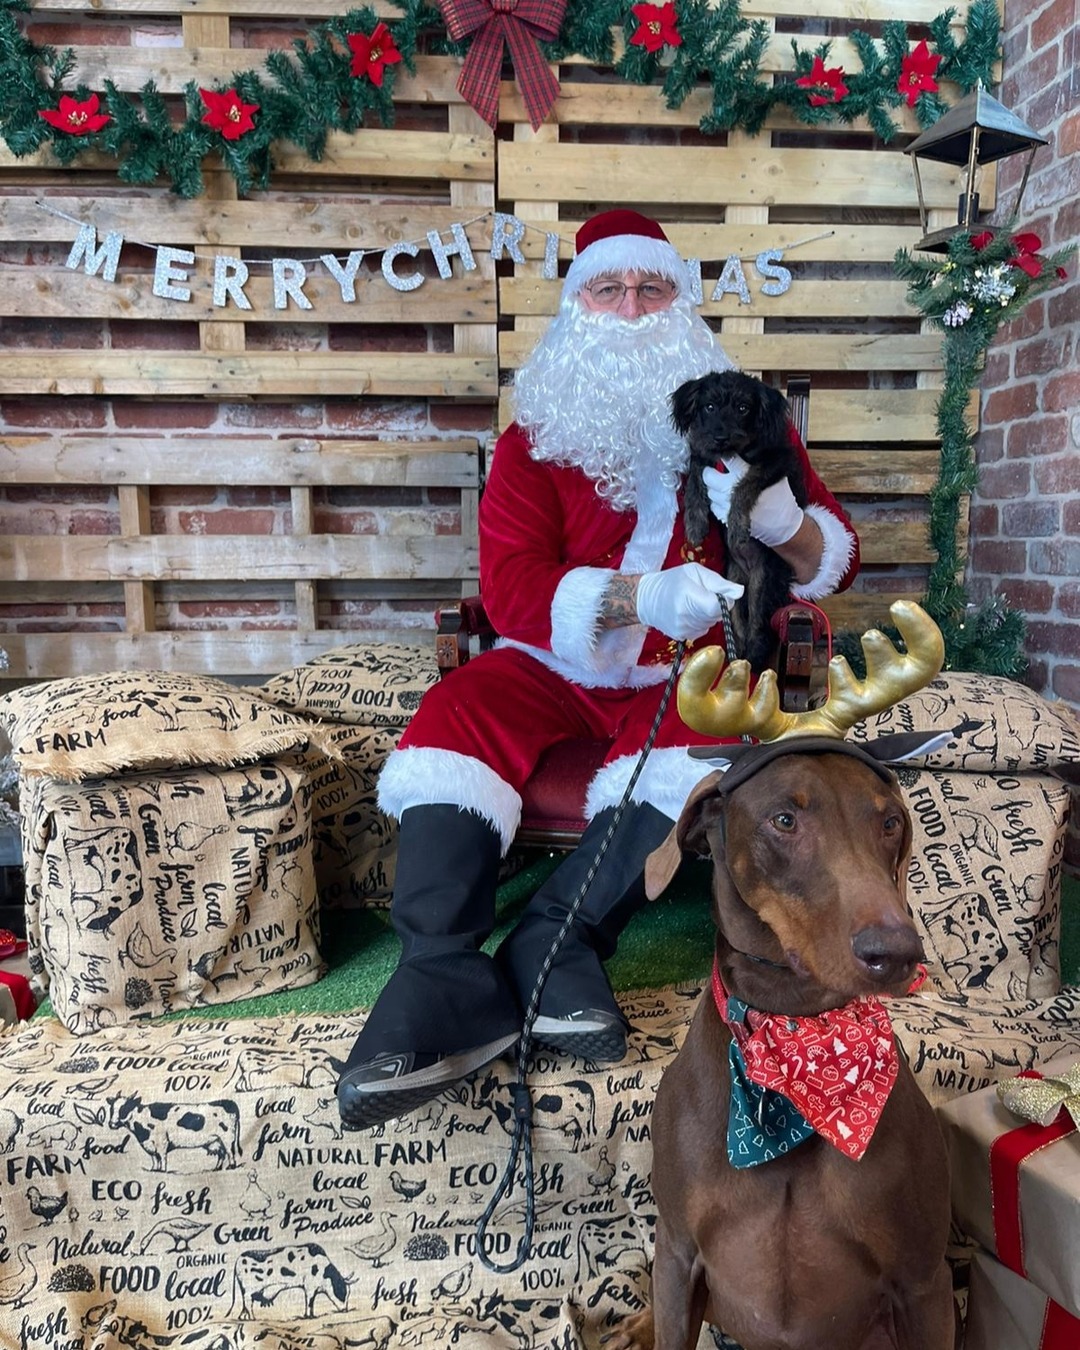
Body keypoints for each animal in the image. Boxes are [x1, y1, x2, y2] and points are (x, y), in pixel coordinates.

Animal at [607, 739, 955, 1350]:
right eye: (785, 820)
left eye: (890, 822)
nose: (897, 953)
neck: (795, 1041)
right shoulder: (679, 1252)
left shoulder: (923, 1283)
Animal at [669, 369, 804, 669]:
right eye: (709, 407)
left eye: (743, 408)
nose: (720, 437)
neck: (727, 456)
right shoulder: (704, 454)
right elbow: (696, 475)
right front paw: (695, 523)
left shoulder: (775, 462)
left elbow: (745, 483)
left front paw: (737, 524)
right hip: (732, 583)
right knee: (738, 624)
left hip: (762, 583)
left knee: (758, 626)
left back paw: (750, 658)